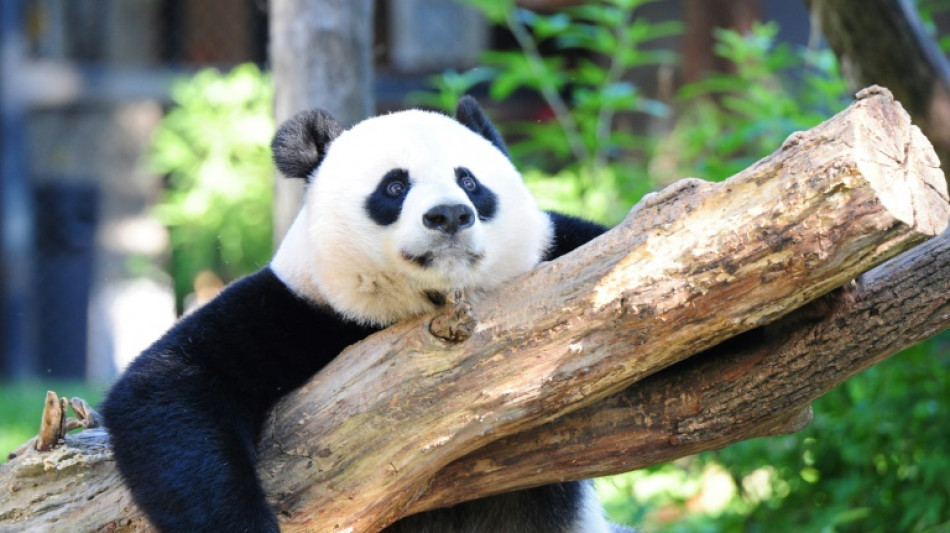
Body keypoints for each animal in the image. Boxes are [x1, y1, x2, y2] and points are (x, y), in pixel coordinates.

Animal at [102, 97, 624, 533]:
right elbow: (169, 388)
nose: (450, 216)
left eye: (470, 181)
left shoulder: (561, 252)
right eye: (394, 186)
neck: (430, 300)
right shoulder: (297, 309)